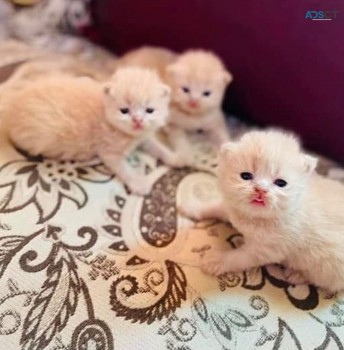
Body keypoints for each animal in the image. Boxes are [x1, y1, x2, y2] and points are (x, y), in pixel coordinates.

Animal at [0, 67, 172, 196]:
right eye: (124, 111)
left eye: (149, 110)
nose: (137, 120)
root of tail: (12, 107)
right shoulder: (109, 152)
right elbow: (125, 169)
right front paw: (139, 184)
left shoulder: (142, 137)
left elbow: (157, 147)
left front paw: (175, 158)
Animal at [179, 130, 344, 292]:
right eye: (246, 176)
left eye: (280, 183)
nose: (261, 190)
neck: (256, 217)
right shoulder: (233, 207)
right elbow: (216, 207)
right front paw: (192, 207)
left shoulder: (266, 249)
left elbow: (238, 257)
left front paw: (215, 261)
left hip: (328, 268)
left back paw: (297, 275)